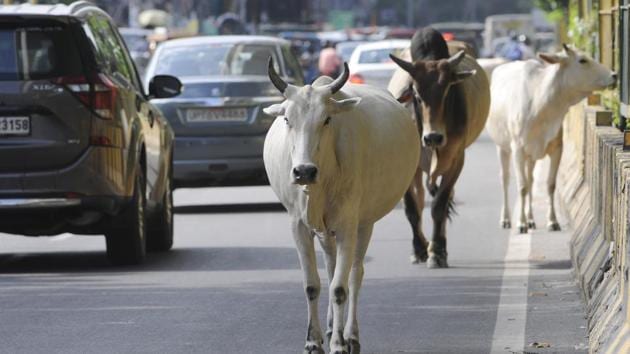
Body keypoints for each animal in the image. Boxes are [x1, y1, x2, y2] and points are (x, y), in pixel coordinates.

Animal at [262, 58, 420, 354]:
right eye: (287, 119)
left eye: (326, 119)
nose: (303, 171)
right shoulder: (299, 226)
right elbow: (312, 285)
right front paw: (313, 341)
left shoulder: (348, 224)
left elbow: (339, 288)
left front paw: (338, 343)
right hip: (326, 231)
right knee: (332, 267)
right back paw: (330, 326)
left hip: (365, 223)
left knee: (354, 275)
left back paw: (350, 335)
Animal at [388, 28, 492, 268]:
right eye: (416, 95)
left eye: (446, 92)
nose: (433, 137)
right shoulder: (408, 165)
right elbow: (412, 209)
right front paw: (419, 249)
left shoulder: (456, 160)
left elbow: (439, 206)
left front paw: (437, 252)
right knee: (420, 200)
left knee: (442, 202)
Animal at [488, 43, 616, 232]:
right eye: (582, 60)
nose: (614, 75)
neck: (541, 104)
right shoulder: (518, 149)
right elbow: (522, 186)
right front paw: (521, 223)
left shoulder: (557, 148)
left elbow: (550, 185)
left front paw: (552, 221)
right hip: (502, 147)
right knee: (505, 178)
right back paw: (506, 219)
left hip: (531, 156)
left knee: (531, 179)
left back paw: (531, 219)